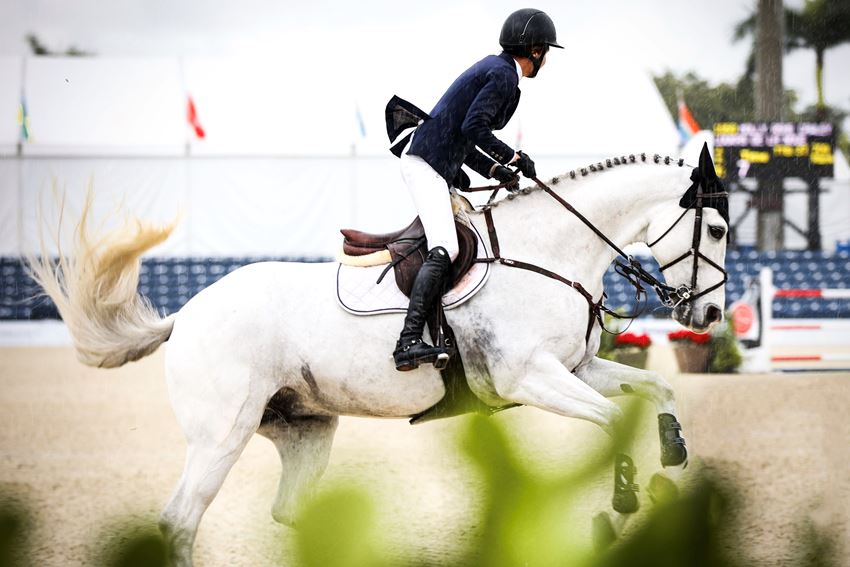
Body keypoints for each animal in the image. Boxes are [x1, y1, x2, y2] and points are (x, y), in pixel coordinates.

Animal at [29, 149, 724, 564]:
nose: (711, 317)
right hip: (220, 436)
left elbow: (657, 392)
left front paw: (671, 455)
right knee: (179, 521)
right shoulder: (530, 378)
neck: (546, 255)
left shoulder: (576, 370)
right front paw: (622, 505)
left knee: (290, 513)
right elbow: (608, 426)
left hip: (306, 429)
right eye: (717, 230)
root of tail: (187, 313)